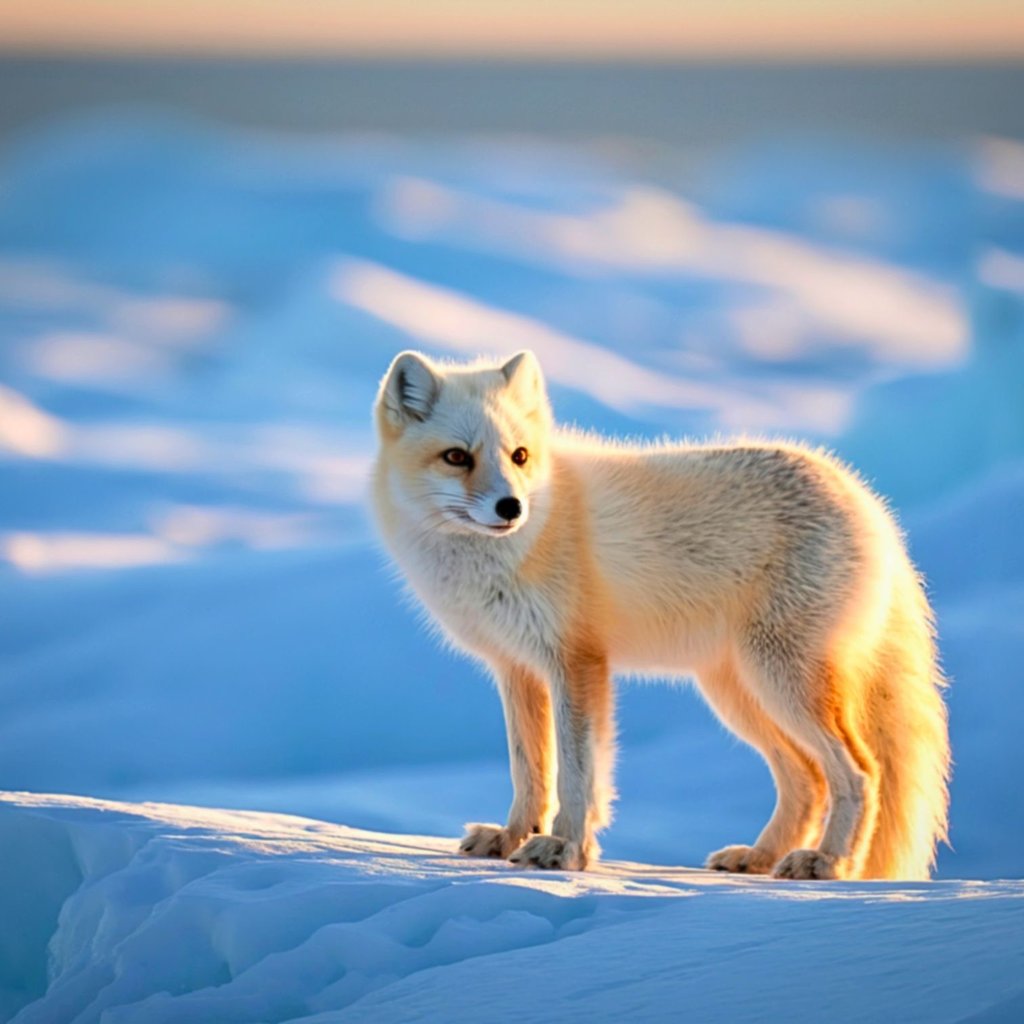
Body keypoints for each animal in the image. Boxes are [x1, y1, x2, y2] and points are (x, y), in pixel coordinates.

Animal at [371, 349, 950, 880]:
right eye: (457, 457)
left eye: (519, 455)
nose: (512, 507)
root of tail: (869, 504)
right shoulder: (516, 667)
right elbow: (529, 769)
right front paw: (512, 838)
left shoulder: (577, 662)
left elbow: (578, 772)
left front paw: (565, 850)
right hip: (737, 693)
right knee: (807, 780)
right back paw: (760, 858)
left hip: (780, 683)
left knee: (860, 774)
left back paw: (828, 862)